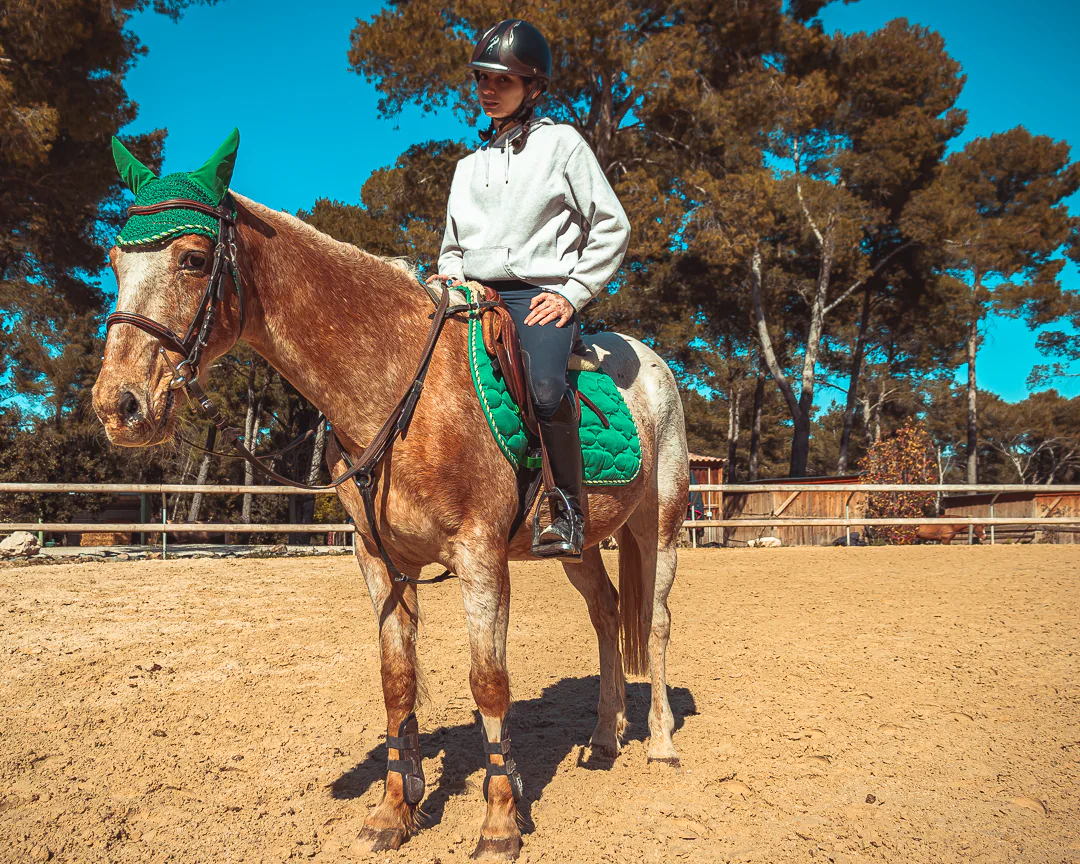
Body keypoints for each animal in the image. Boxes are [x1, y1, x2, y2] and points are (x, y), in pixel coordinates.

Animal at [91, 192, 689, 859]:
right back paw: (606, 737)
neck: (402, 388)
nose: (118, 406)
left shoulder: (481, 557)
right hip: (576, 545)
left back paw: (661, 743)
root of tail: (654, 364)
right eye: (114, 262)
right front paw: (392, 812)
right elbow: (397, 682)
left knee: (655, 621)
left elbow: (489, 682)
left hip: (659, 524)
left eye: (193, 259)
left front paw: (499, 824)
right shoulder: (381, 562)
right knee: (607, 612)